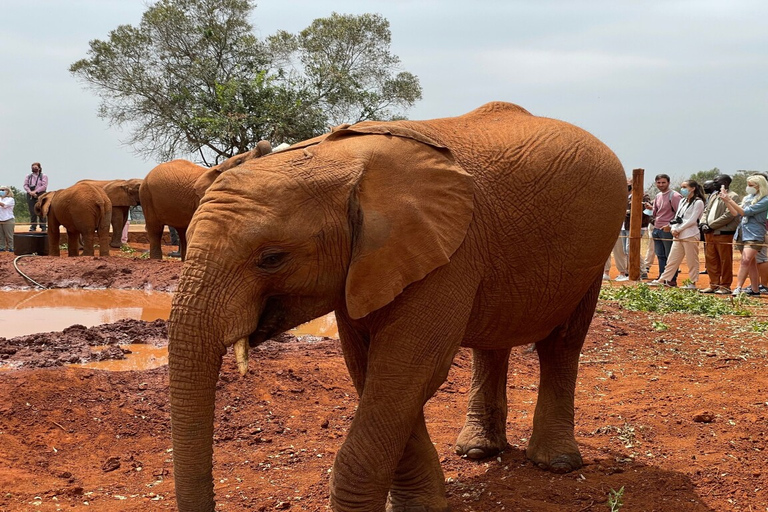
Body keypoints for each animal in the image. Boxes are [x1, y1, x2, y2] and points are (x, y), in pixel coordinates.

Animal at [141, 140, 272, 260]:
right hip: (146, 196)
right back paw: (156, 259)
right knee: (155, 229)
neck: (218, 167)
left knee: (182, 230)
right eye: (239, 162)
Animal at [168, 102, 632, 510]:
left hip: (596, 249)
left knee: (563, 344)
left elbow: (406, 370)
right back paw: (477, 452)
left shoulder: (447, 253)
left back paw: (556, 464)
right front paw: (420, 505)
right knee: (492, 343)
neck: (339, 165)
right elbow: (373, 370)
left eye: (271, 258)